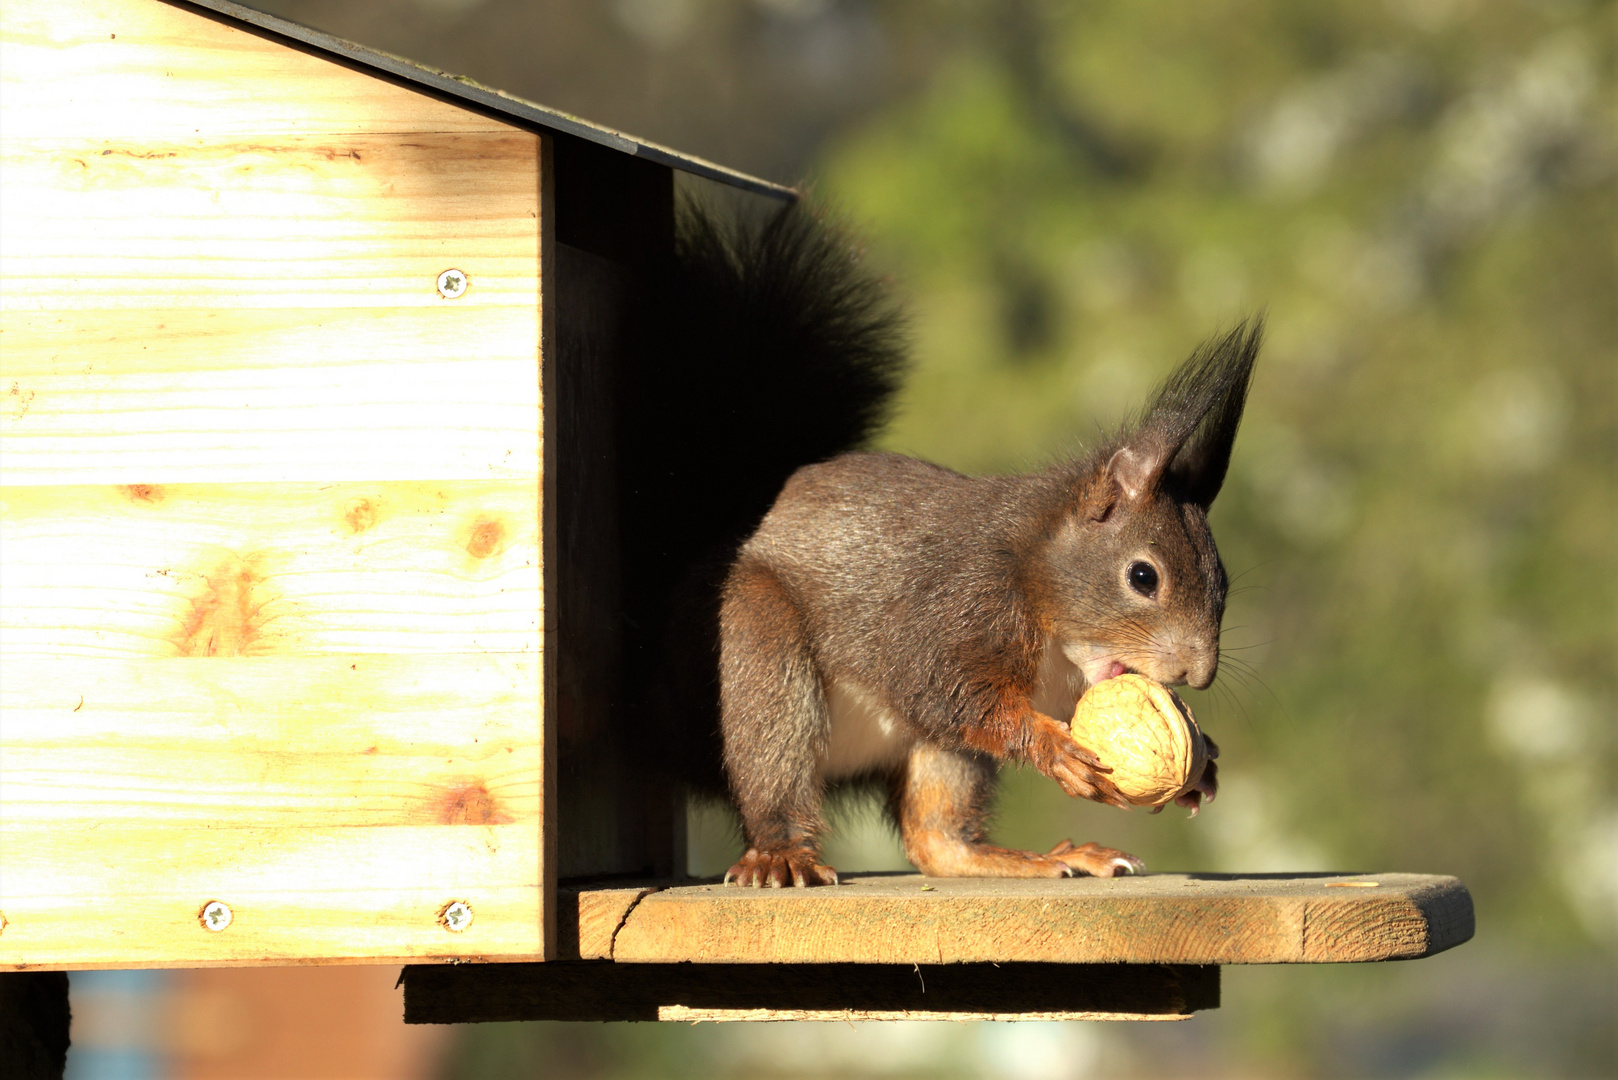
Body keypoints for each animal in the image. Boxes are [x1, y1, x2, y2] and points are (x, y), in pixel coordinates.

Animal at [627, 194, 1249, 887]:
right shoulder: (949, 612)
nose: (1198, 674)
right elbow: (947, 692)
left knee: (935, 838)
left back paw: (1031, 858)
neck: (1033, 577)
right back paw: (781, 853)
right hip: (756, 647)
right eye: (1143, 577)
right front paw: (1050, 746)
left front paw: (1206, 759)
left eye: (1224, 581)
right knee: (774, 761)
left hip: (937, 753)